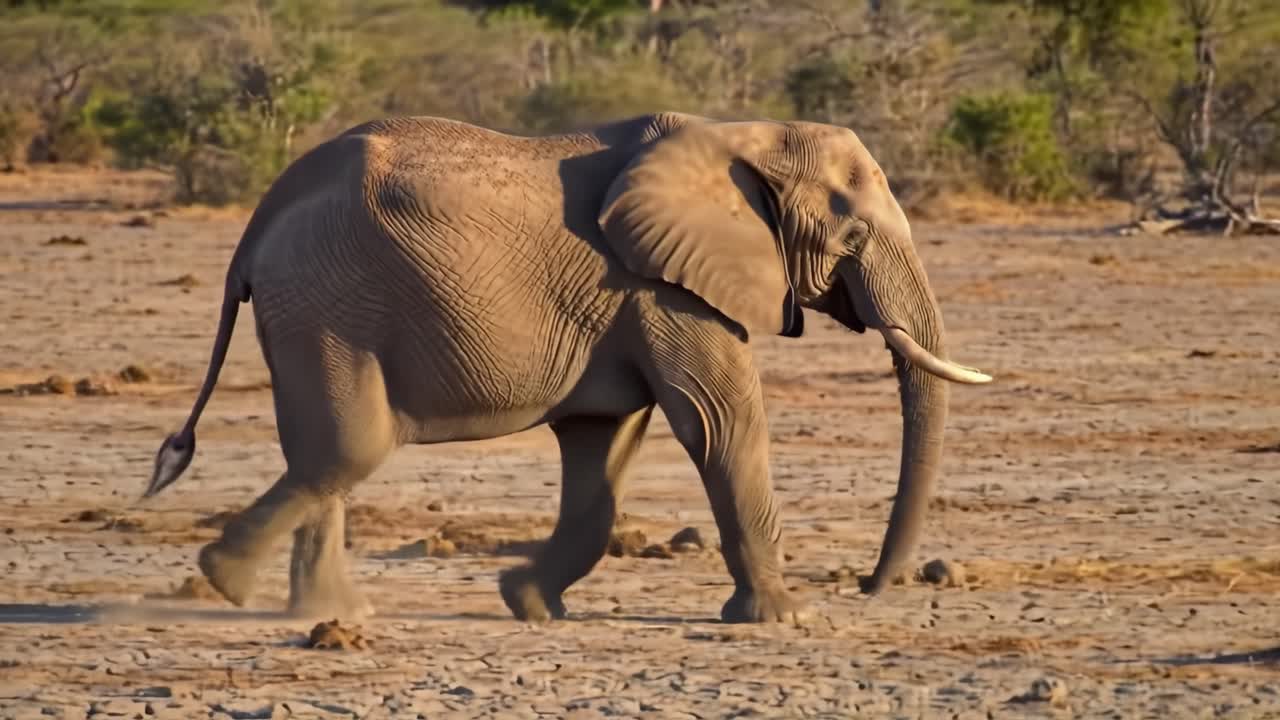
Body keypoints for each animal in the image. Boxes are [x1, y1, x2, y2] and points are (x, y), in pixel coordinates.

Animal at [142, 111, 992, 624]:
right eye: (853, 237)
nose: (866, 586)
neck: (745, 136)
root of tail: (256, 227)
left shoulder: (633, 300)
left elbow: (602, 446)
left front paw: (527, 603)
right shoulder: (663, 286)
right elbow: (720, 424)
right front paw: (783, 618)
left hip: (315, 303)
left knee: (327, 456)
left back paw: (328, 614)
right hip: (329, 303)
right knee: (349, 448)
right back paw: (230, 583)